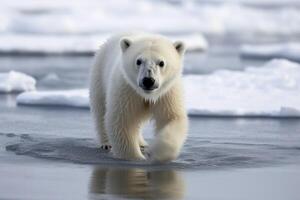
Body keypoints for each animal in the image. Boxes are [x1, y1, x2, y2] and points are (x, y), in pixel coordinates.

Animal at [88, 32, 188, 162]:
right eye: (138, 61)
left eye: (161, 62)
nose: (148, 80)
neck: (146, 95)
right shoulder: (126, 90)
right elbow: (122, 120)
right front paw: (136, 158)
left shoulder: (168, 93)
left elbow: (172, 118)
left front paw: (157, 152)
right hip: (99, 75)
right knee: (100, 110)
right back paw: (106, 143)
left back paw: (142, 143)